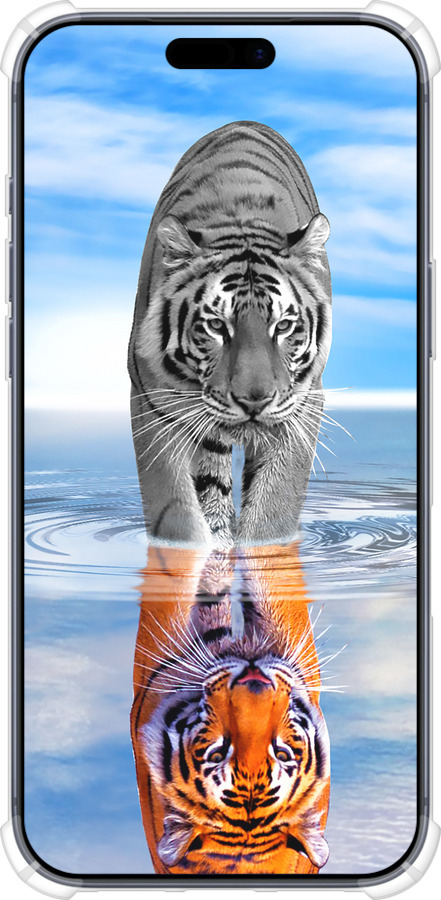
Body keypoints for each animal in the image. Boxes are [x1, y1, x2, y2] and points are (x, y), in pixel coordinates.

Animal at [128, 121, 332, 549]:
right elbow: (176, 512)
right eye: (216, 326)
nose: (254, 401)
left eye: (283, 326)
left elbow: (274, 509)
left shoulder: (303, 404)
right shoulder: (152, 401)